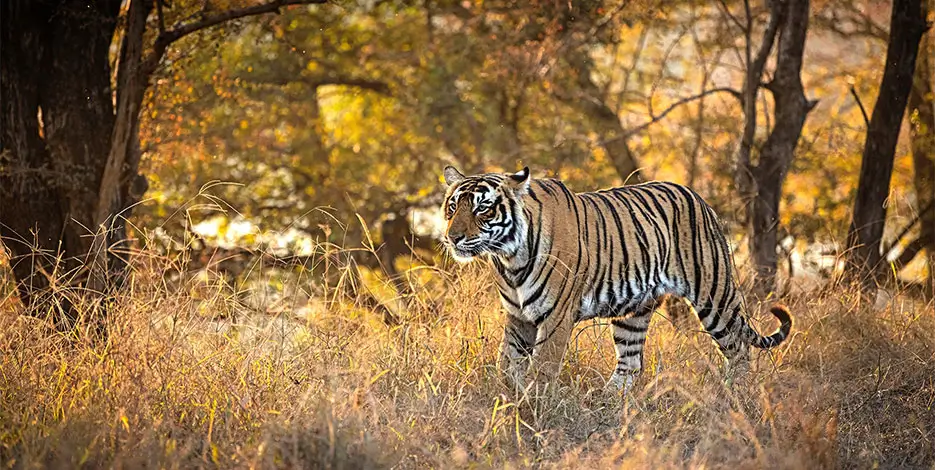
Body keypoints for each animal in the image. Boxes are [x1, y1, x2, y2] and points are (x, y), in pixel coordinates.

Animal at [441, 165, 792, 392]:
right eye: (452, 207)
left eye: (483, 208)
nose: (452, 238)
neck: (509, 257)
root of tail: (698, 197)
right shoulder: (518, 316)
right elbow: (507, 365)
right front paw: (507, 401)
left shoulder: (555, 317)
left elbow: (541, 369)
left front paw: (530, 409)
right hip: (633, 314)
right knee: (631, 364)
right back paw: (608, 401)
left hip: (715, 297)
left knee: (739, 349)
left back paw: (736, 396)